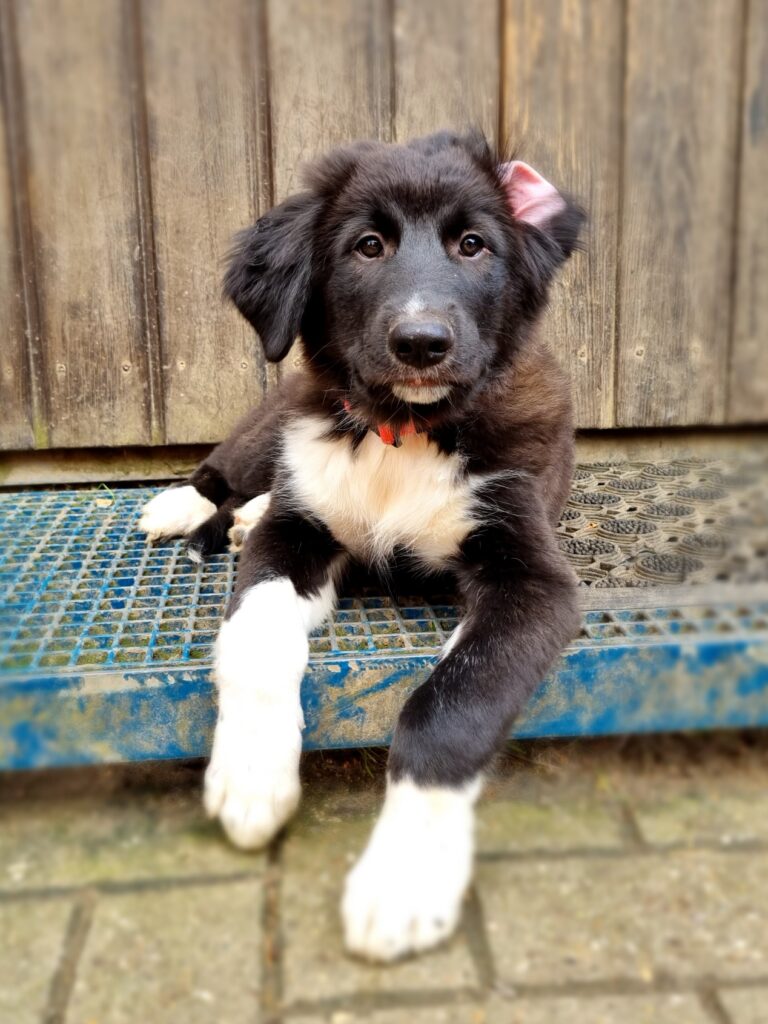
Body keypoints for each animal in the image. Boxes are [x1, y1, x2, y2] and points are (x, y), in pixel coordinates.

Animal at [140, 132, 581, 962]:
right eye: (367, 247)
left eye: (473, 245)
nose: (421, 343)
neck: (402, 431)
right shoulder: (297, 534)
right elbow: (255, 637)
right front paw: (251, 774)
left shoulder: (534, 580)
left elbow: (451, 705)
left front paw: (406, 877)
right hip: (276, 416)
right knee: (228, 471)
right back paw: (187, 505)